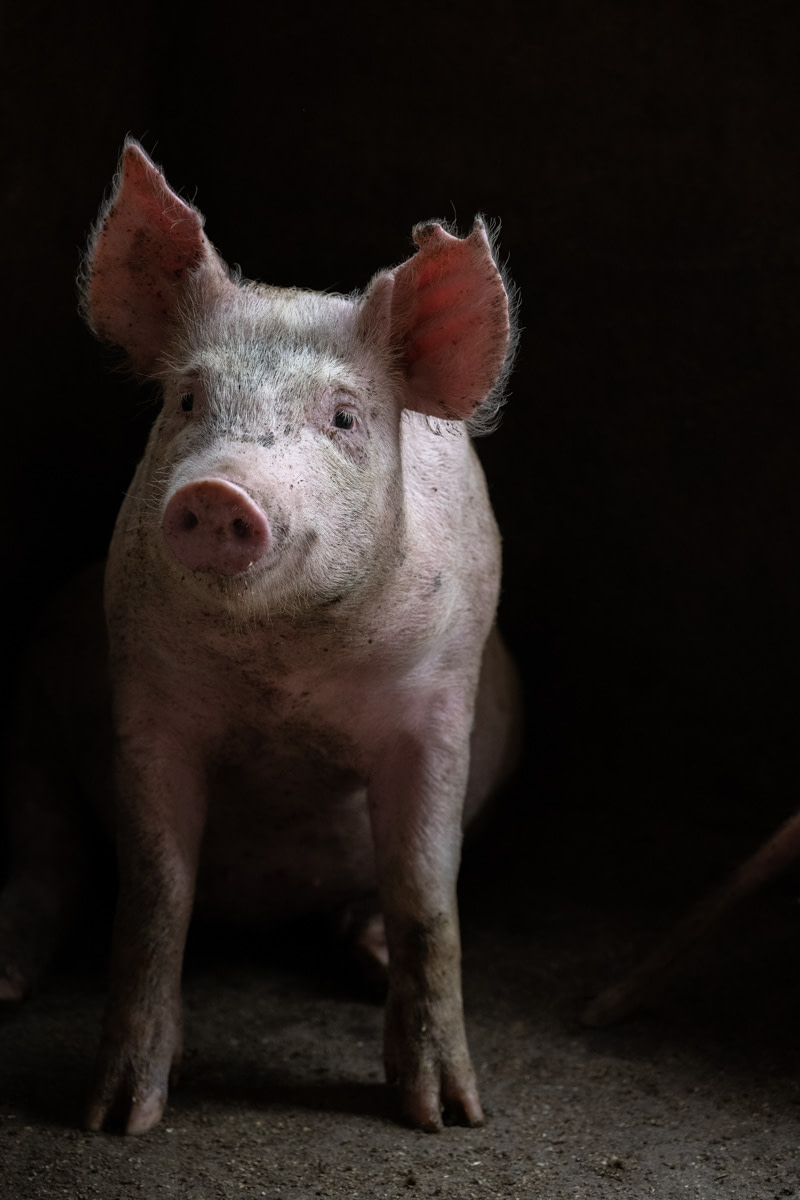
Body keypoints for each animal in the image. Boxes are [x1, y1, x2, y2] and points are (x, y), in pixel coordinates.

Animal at [0, 140, 521, 1136]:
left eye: (345, 418)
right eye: (187, 399)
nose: (218, 492)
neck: (286, 670)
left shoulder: (440, 705)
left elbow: (427, 896)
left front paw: (444, 1118)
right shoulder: (148, 700)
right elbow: (155, 897)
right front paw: (115, 1121)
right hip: (34, 731)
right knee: (45, 862)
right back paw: (4, 981)